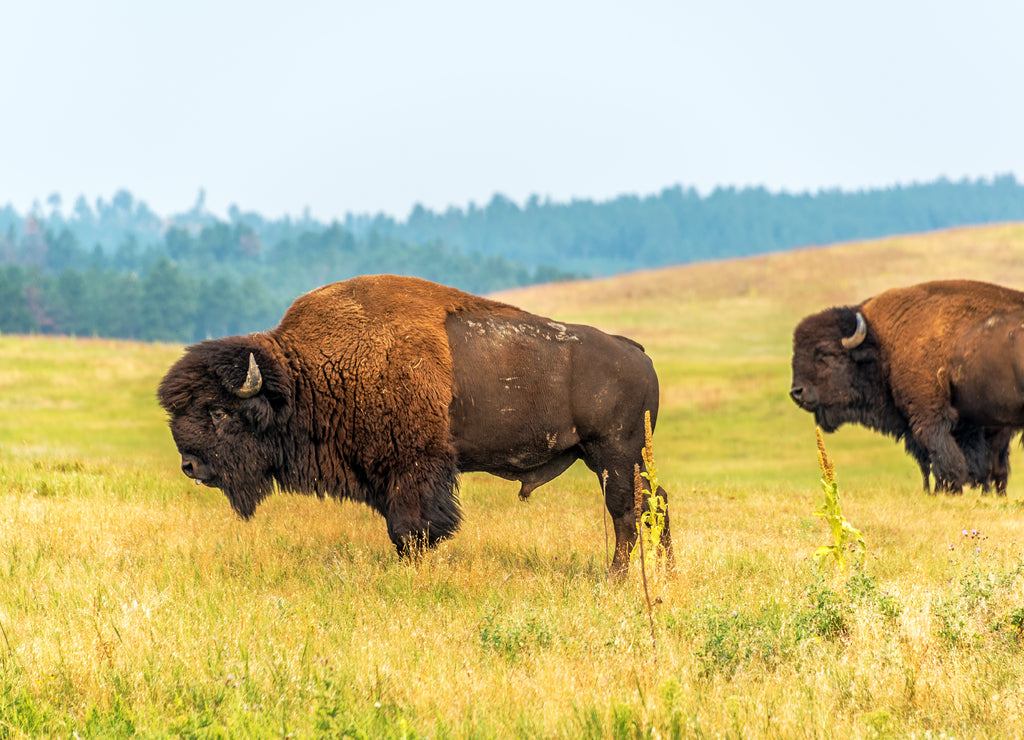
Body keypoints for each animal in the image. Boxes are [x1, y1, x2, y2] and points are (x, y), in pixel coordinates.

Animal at [158, 274, 670, 573]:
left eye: (219, 412)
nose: (190, 465)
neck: (306, 375)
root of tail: (637, 352)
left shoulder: (414, 468)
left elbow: (412, 528)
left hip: (613, 454)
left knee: (627, 510)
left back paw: (616, 578)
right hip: (618, 457)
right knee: (654, 501)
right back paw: (662, 572)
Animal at [790, 280, 1024, 493]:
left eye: (827, 353)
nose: (797, 392)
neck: (883, 344)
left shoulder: (929, 416)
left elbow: (943, 457)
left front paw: (947, 490)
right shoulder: (969, 424)